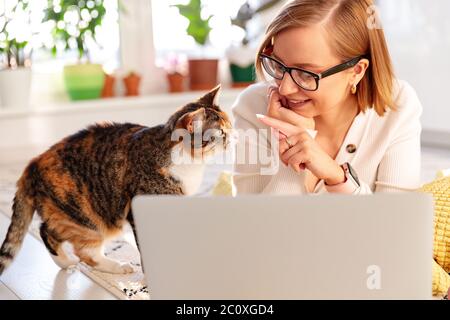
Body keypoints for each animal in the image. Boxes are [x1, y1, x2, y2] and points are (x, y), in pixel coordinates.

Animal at [0, 85, 230, 276]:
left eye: (229, 125)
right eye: (221, 132)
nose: (233, 135)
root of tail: (33, 163)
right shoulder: (140, 208)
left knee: (48, 231)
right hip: (86, 219)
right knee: (73, 246)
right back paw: (106, 266)